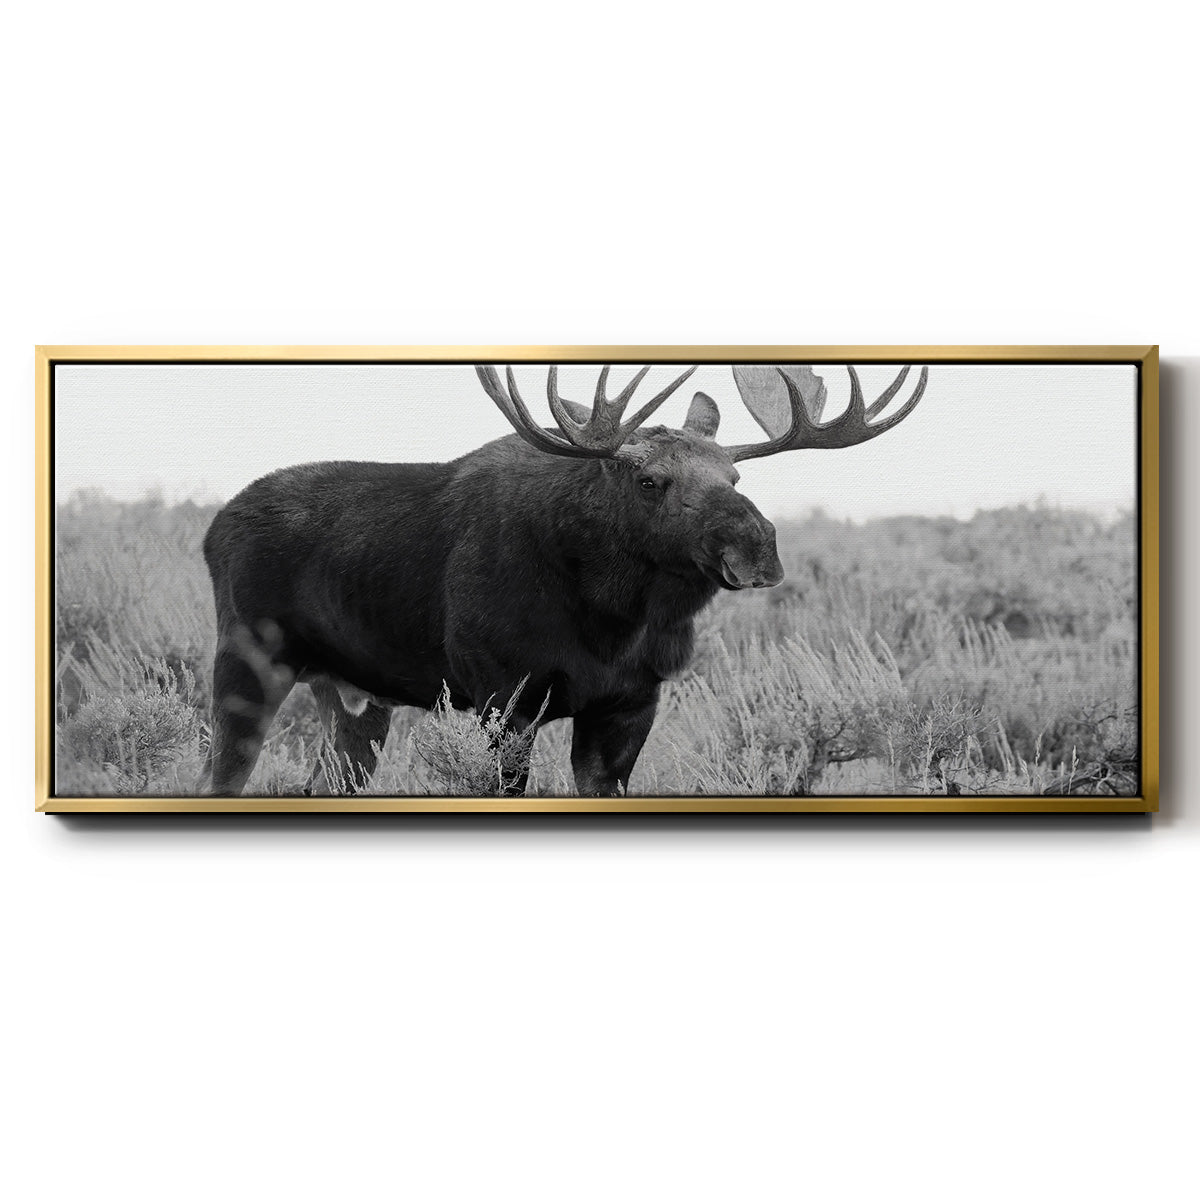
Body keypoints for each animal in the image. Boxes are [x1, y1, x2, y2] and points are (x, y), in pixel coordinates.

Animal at [200, 361, 927, 796]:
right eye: (650, 480)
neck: (611, 620)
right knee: (220, 776)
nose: (756, 547)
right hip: (246, 663)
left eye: (735, 474)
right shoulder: (504, 694)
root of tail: (212, 528)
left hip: (352, 696)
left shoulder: (631, 702)